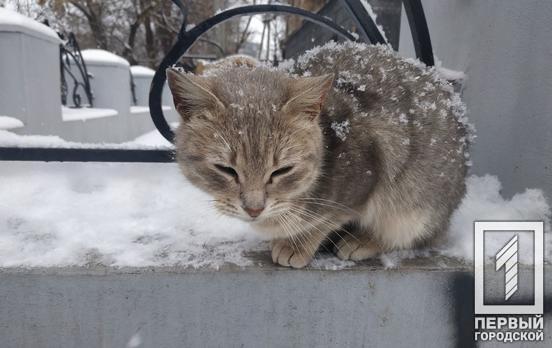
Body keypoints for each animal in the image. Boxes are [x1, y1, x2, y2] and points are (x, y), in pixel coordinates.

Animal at [167, 41, 470, 270]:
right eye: (226, 169)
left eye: (282, 171)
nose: (254, 209)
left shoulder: (361, 183)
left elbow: (324, 218)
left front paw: (296, 243)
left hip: (416, 209)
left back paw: (362, 240)